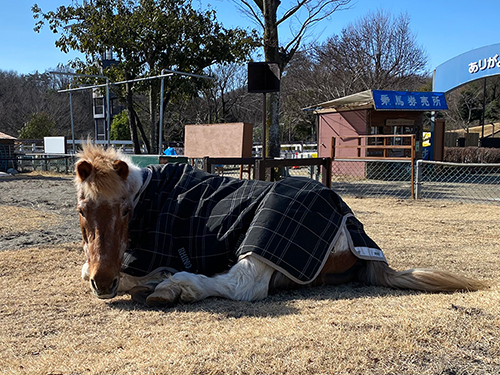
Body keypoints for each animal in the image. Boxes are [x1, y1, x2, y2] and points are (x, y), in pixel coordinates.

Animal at [74, 142, 488, 306]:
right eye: (81, 210)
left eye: (125, 211)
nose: (104, 282)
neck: (149, 194)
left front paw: (152, 279)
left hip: (263, 236)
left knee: (244, 286)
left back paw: (173, 287)